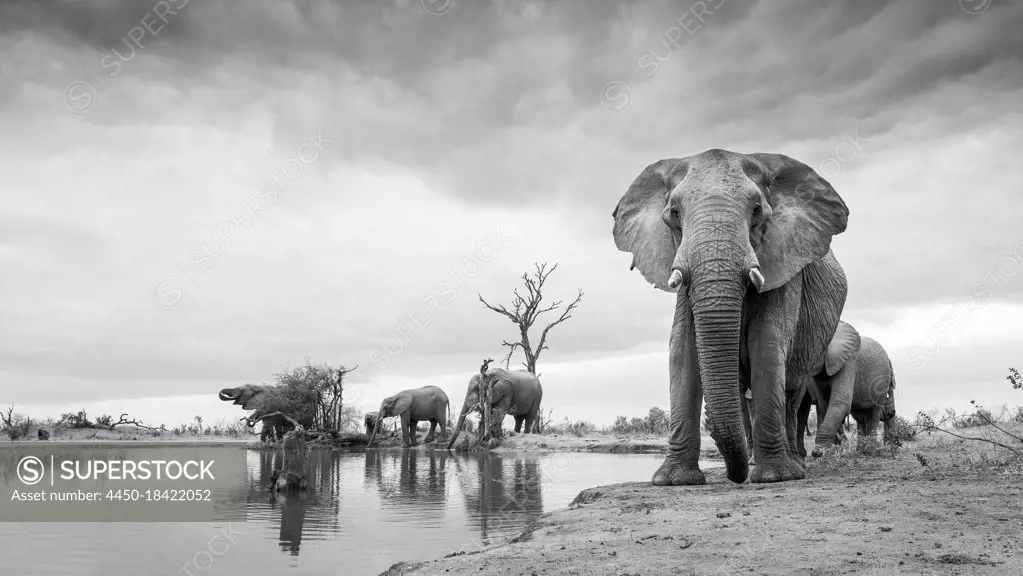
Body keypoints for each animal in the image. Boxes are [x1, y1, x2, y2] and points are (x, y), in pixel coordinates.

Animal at [609, 146, 851, 484]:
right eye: (674, 214)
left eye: (757, 211)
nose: (733, 477)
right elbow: (681, 351)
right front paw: (673, 481)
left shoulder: (784, 264)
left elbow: (767, 346)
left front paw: (774, 477)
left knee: (792, 392)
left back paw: (791, 465)